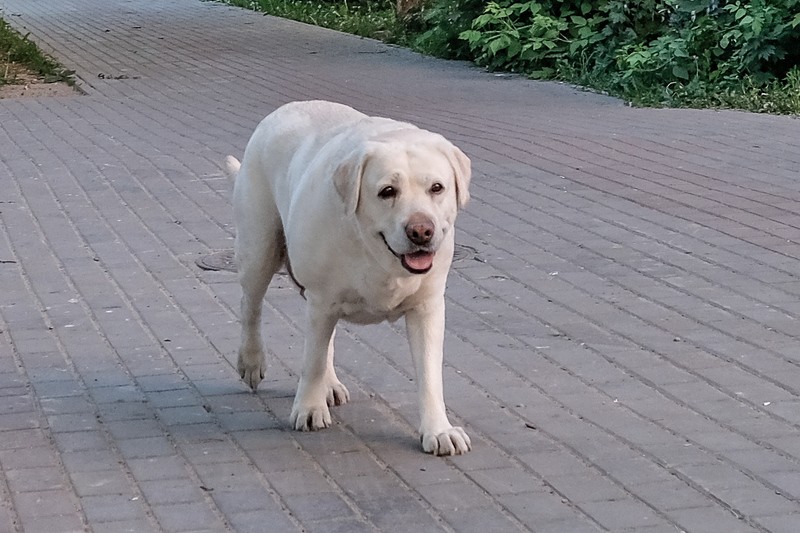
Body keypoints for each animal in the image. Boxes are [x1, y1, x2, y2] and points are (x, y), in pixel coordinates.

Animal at [225, 100, 472, 454]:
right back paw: (252, 362)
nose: (421, 230)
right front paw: (309, 408)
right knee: (252, 307)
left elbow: (429, 372)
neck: (376, 253)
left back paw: (328, 384)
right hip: (259, 248)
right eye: (387, 191)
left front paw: (438, 430)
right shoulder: (321, 300)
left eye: (437, 188)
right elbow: (312, 359)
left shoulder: (427, 306)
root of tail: (285, 109)